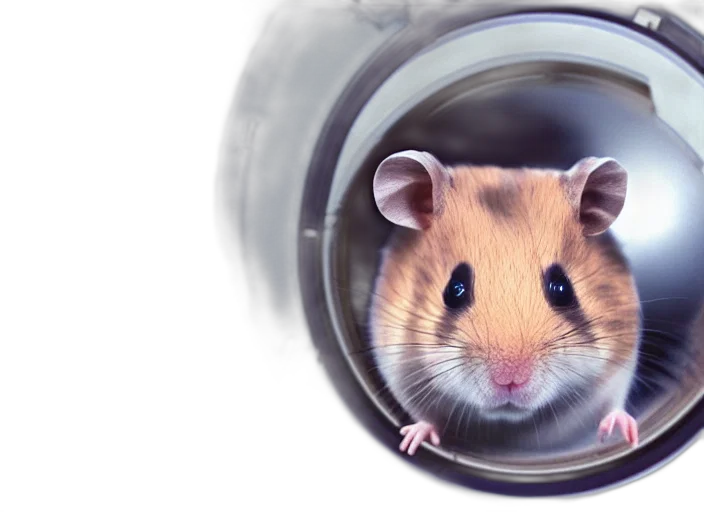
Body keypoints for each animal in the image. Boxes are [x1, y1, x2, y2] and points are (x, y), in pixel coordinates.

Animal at [368, 150, 642, 456]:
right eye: (454, 289)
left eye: (562, 288)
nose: (510, 380)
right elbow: (424, 416)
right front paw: (411, 441)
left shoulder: (620, 366)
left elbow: (612, 405)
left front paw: (630, 434)